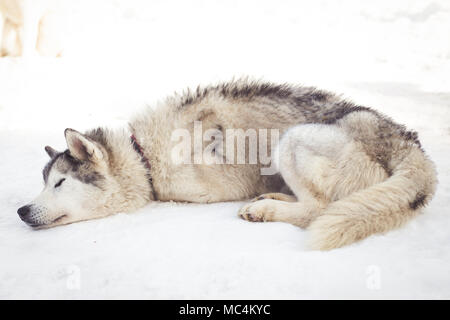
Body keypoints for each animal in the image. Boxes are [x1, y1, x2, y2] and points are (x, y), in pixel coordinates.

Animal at [16, 79, 436, 250]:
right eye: (44, 183)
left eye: (59, 183)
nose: (21, 210)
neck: (144, 155)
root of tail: (406, 141)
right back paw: (271, 199)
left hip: (292, 139)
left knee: (318, 209)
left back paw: (264, 210)